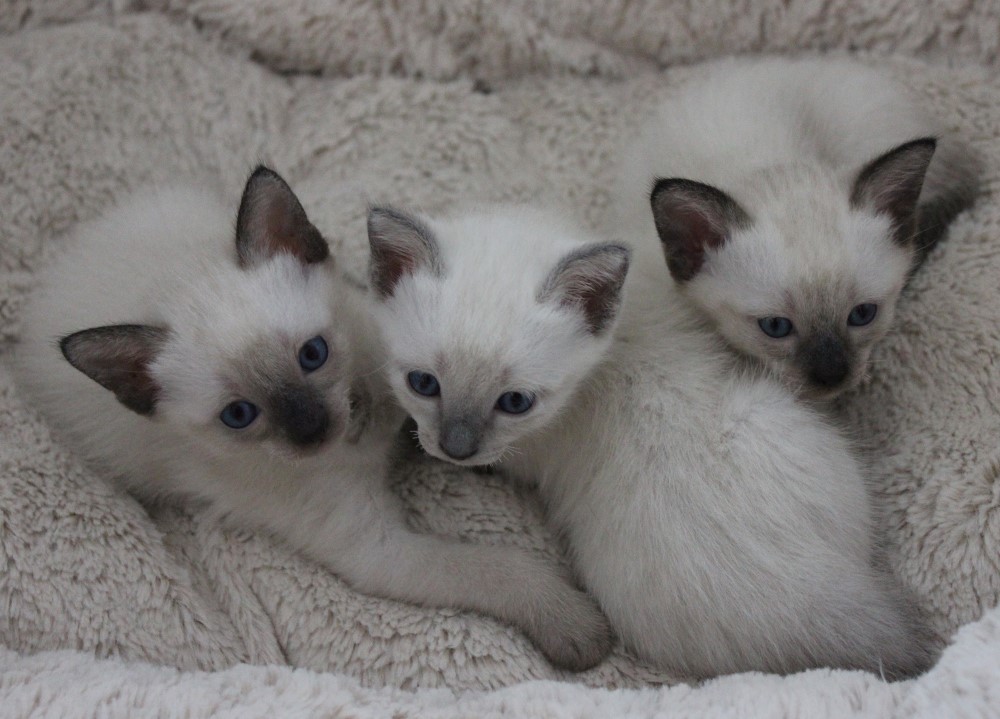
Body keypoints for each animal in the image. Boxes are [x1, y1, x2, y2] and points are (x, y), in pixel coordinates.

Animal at [13, 168, 613, 671]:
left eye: (313, 354)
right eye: (239, 414)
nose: (311, 430)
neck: (359, 438)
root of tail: (62, 264)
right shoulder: (378, 550)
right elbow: (496, 567)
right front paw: (578, 627)